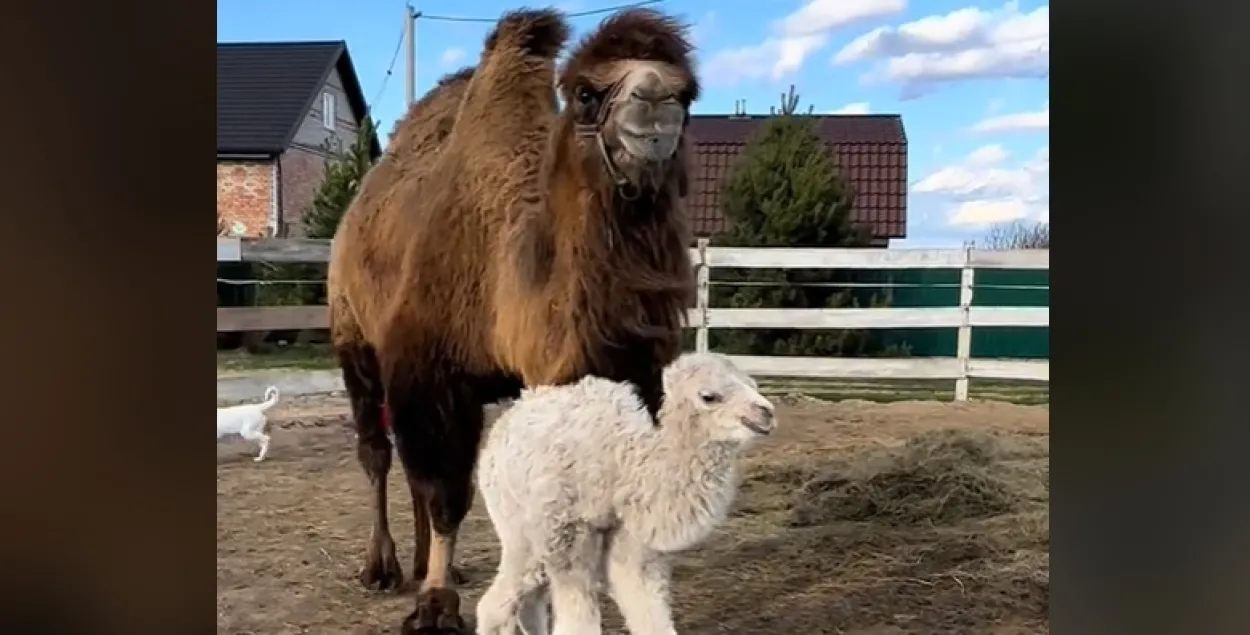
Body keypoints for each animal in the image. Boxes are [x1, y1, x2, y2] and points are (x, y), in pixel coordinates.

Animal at [325, 4, 705, 630]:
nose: (655, 102)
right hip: (353, 340)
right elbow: (447, 490)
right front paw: (435, 605)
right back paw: (383, 568)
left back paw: (432, 563)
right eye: (585, 94)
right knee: (379, 453)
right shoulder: (429, 367)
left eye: (688, 94)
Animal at [472, 352, 775, 635]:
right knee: (497, 603)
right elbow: (578, 622)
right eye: (709, 396)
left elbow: (646, 607)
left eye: (752, 384)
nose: (766, 412)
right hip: (519, 525)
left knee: (527, 600)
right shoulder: (569, 533)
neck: (624, 463)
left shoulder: (630, 535)